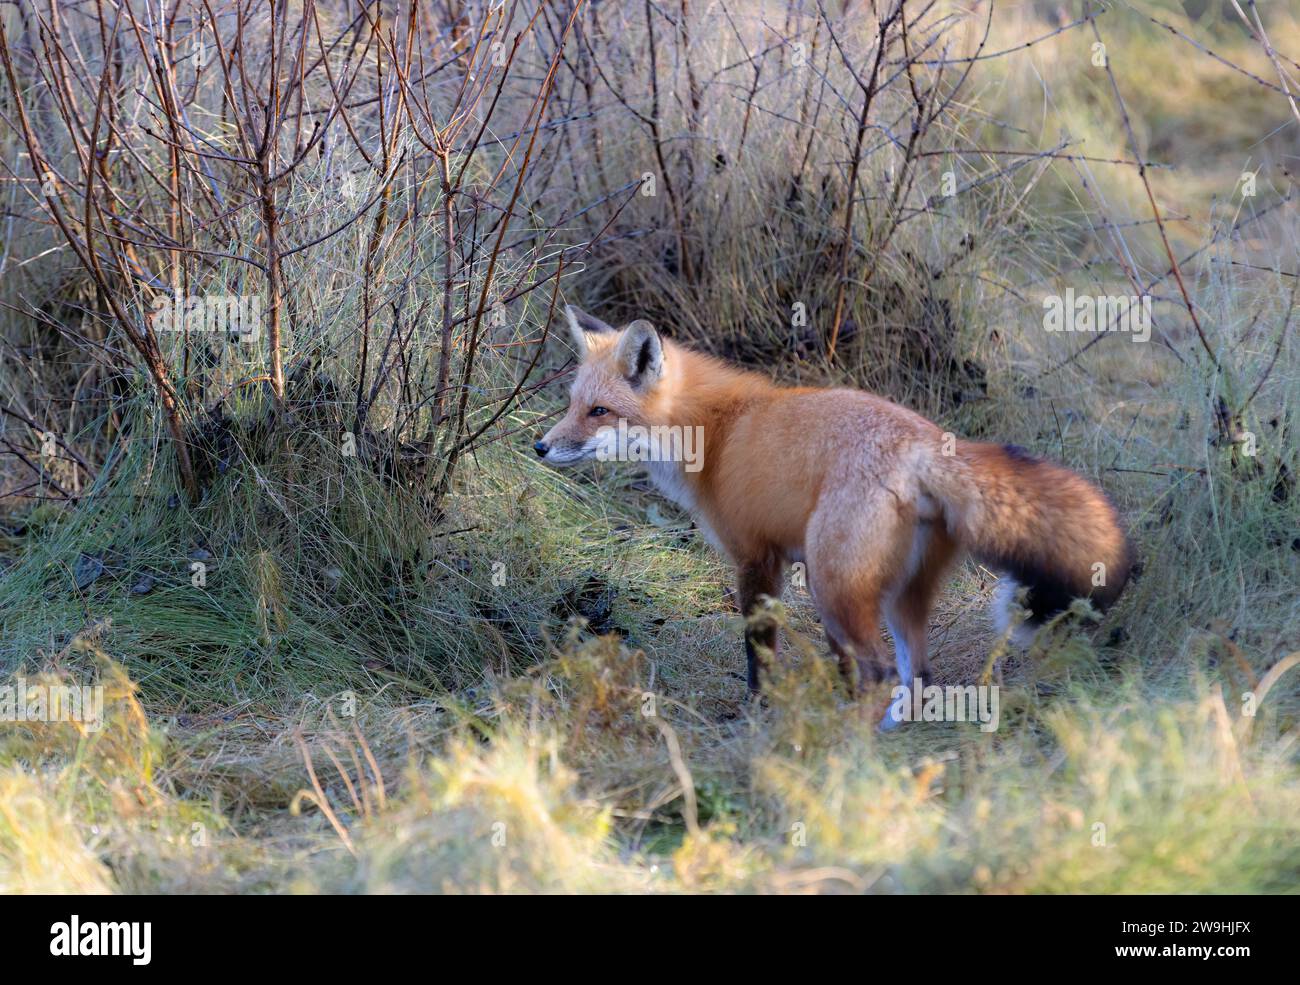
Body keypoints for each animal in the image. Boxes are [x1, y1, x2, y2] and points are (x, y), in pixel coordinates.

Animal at [535, 309, 1128, 712]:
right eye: (572, 404)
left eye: (599, 411)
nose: (540, 447)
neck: (717, 432)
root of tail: (927, 442)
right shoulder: (794, 562)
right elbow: (835, 656)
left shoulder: (757, 557)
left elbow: (758, 650)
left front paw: (758, 711)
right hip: (889, 593)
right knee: (917, 673)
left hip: (835, 580)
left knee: (881, 670)